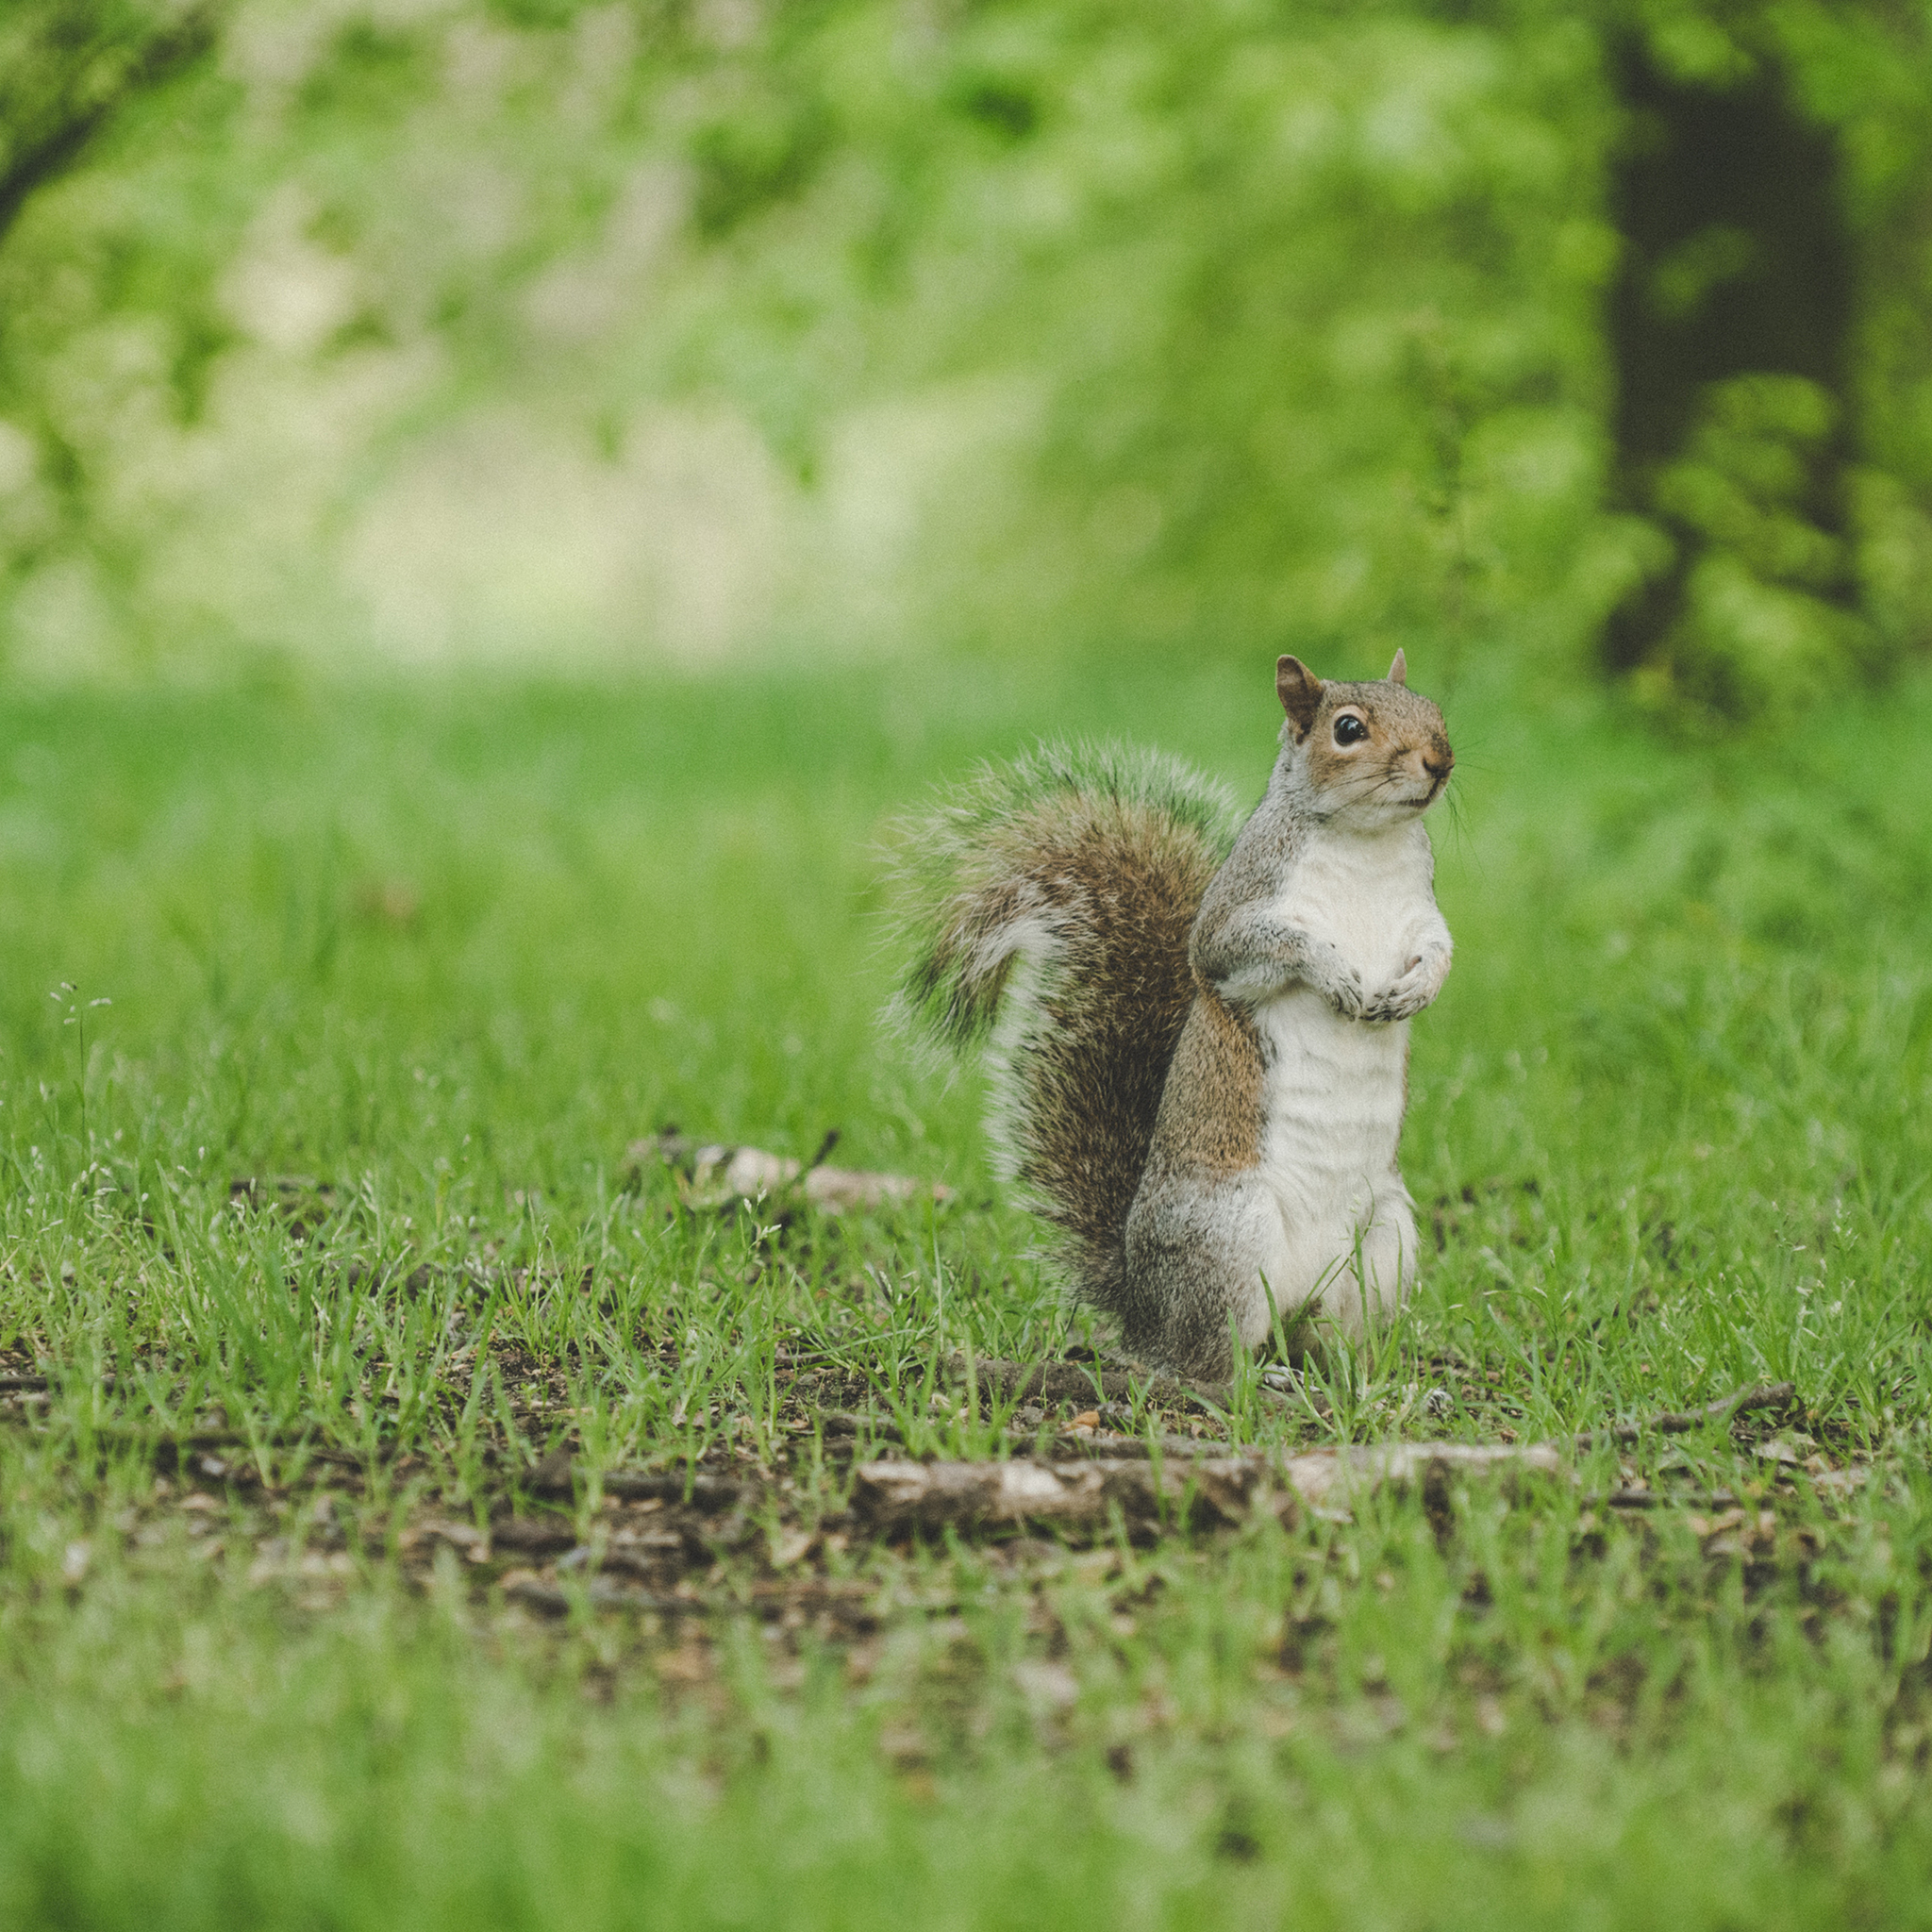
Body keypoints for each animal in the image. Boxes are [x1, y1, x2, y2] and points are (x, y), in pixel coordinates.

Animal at [889, 657, 1453, 1383]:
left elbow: (1438, 951)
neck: (1370, 843)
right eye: (1348, 729)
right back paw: (1257, 1379)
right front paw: (1339, 976)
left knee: (1323, 1342)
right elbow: (1259, 949)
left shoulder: (1423, 913)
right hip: (1227, 1240)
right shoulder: (1237, 917)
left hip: (1384, 1243)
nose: (1440, 761)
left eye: (1433, 709)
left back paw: (1365, 1380)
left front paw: (1416, 992)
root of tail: (1144, 1311)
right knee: (1206, 1365)